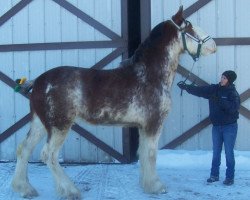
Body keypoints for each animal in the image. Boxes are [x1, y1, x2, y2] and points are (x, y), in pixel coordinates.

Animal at [11, 6, 216, 200]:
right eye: (190, 27)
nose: (213, 45)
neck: (148, 75)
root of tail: (38, 81)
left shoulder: (142, 126)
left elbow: (143, 154)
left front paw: (146, 184)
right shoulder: (154, 124)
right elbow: (151, 155)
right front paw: (156, 187)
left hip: (40, 124)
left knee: (24, 149)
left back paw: (25, 189)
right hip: (59, 126)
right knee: (49, 155)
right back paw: (70, 191)